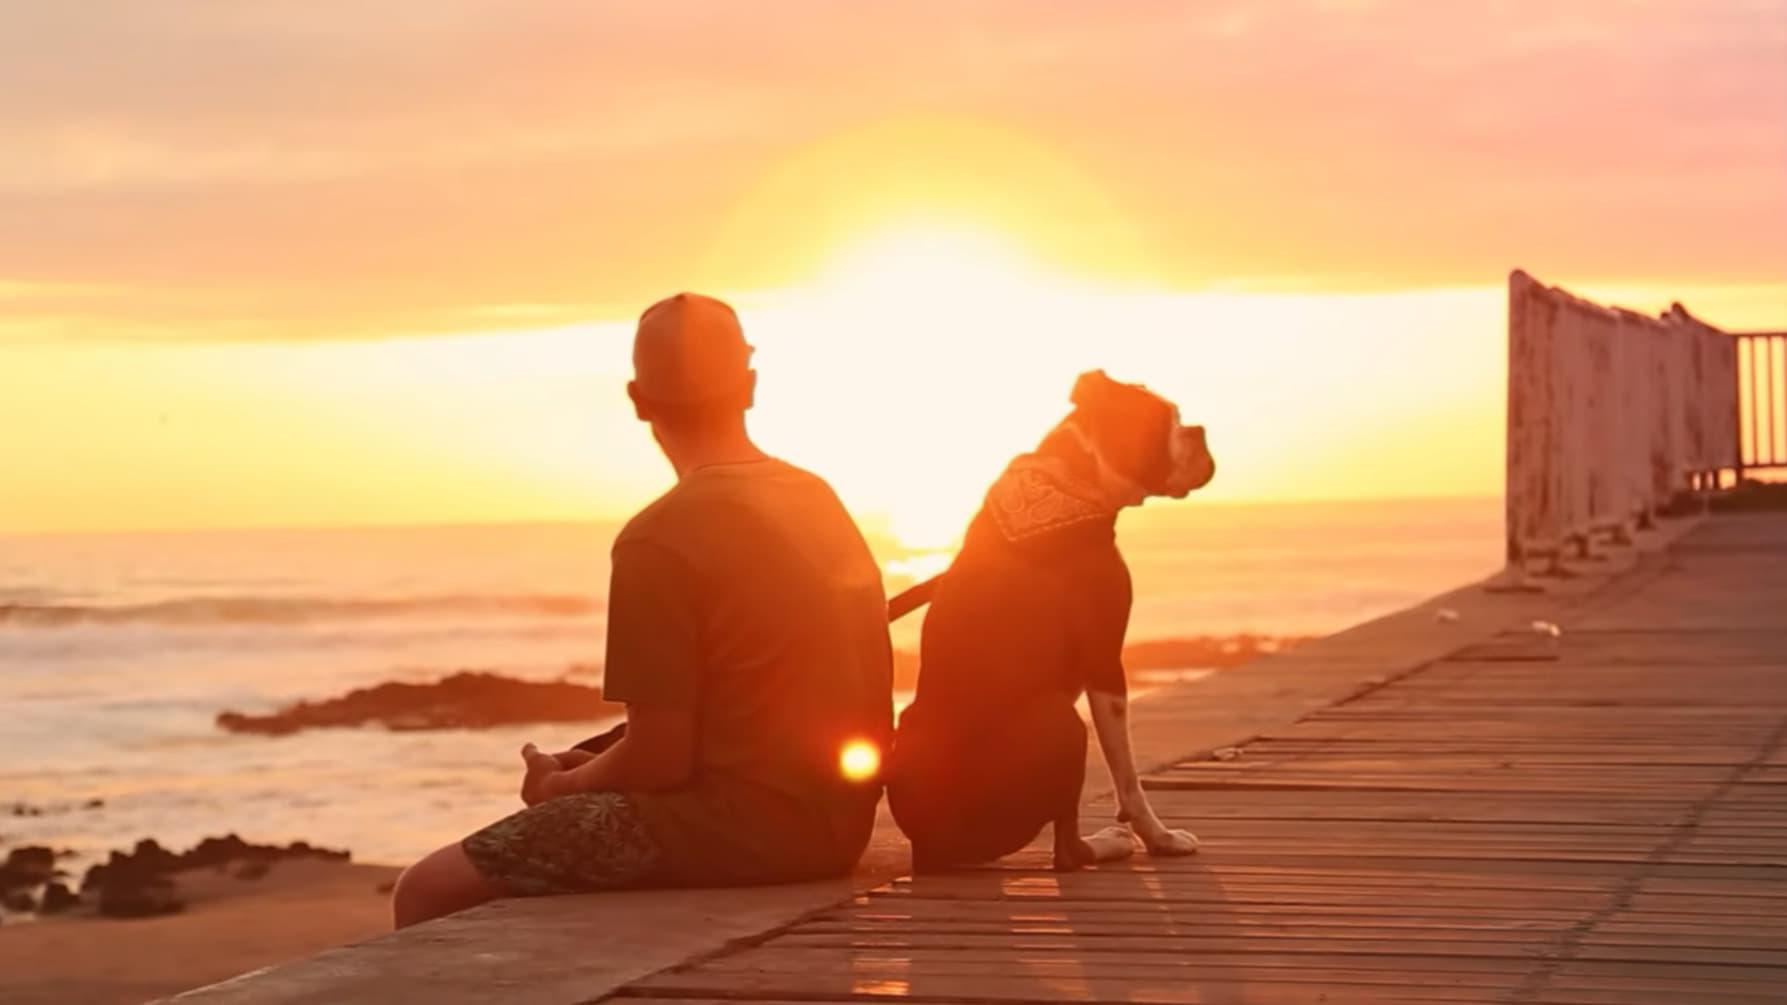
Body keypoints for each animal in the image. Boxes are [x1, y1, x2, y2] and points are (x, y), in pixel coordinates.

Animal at [882, 370, 1215, 869]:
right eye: (1163, 423)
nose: (1198, 430)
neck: (1078, 480)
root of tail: (933, 848)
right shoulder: (1105, 661)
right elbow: (1128, 776)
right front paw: (1161, 838)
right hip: (1065, 719)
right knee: (1067, 849)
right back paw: (1107, 842)